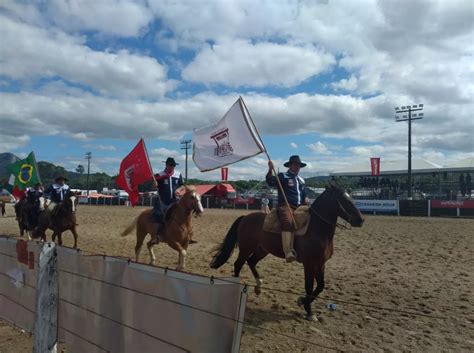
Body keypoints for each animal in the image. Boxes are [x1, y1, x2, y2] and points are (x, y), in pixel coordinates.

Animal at [210, 183, 362, 320]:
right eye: (343, 199)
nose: (360, 220)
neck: (316, 229)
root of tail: (245, 217)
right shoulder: (309, 264)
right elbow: (309, 287)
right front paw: (309, 312)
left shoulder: (320, 264)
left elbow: (320, 286)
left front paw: (302, 302)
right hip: (247, 248)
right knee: (238, 264)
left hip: (262, 249)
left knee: (251, 262)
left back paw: (259, 285)